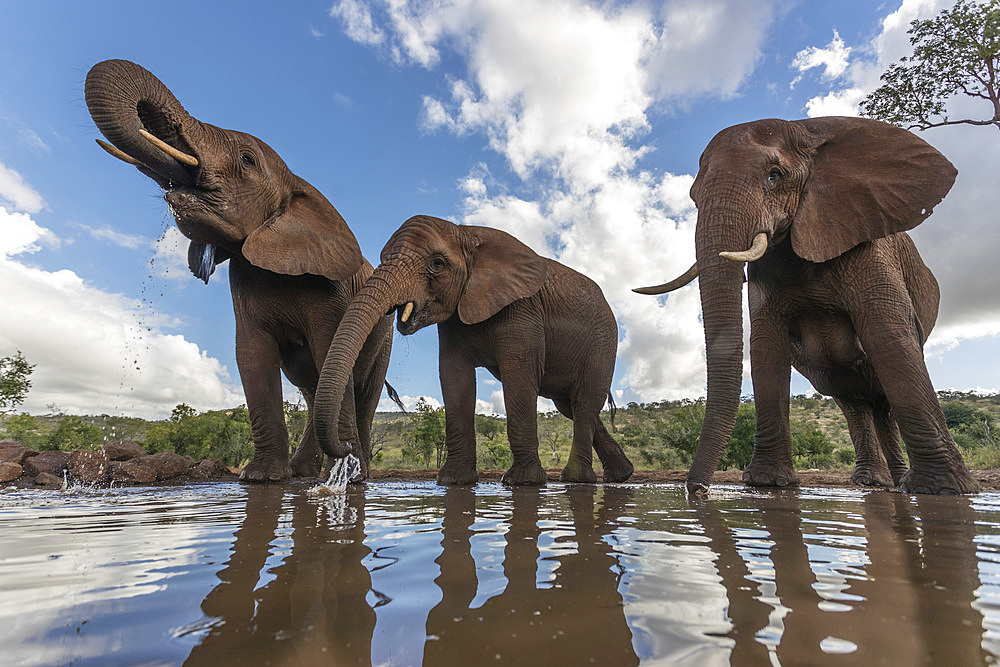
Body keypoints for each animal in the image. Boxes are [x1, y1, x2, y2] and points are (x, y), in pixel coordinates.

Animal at [85, 60, 398, 482]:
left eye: (247, 160)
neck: (297, 185)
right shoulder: (243, 278)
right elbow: (252, 355)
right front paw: (261, 477)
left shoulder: (329, 290)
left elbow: (326, 347)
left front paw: (343, 476)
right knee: (312, 388)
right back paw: (305, 471)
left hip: (384, 338)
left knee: (363, 392)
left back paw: (356, 472)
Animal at [310, 217, 632, 488]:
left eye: (437, 263)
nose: (347, 449)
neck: (466, 233)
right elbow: (454, 377)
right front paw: (454, 481)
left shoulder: (522, 309)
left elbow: (518, 374)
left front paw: (522, 482)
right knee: (571, 405)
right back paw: (618, 476)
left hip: (603, 344)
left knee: (585, 400)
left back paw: (577, 480)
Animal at [640, 115, 976, 496]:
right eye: (694, 196)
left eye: (775, 175)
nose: (696, 489)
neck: (808, 130)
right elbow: (766, 347)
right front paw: (768, 482)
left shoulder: (868, 243)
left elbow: (888, 334)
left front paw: (944, 489)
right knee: (852, 401)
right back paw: (873, 482)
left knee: (882, 398)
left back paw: (895, 483)